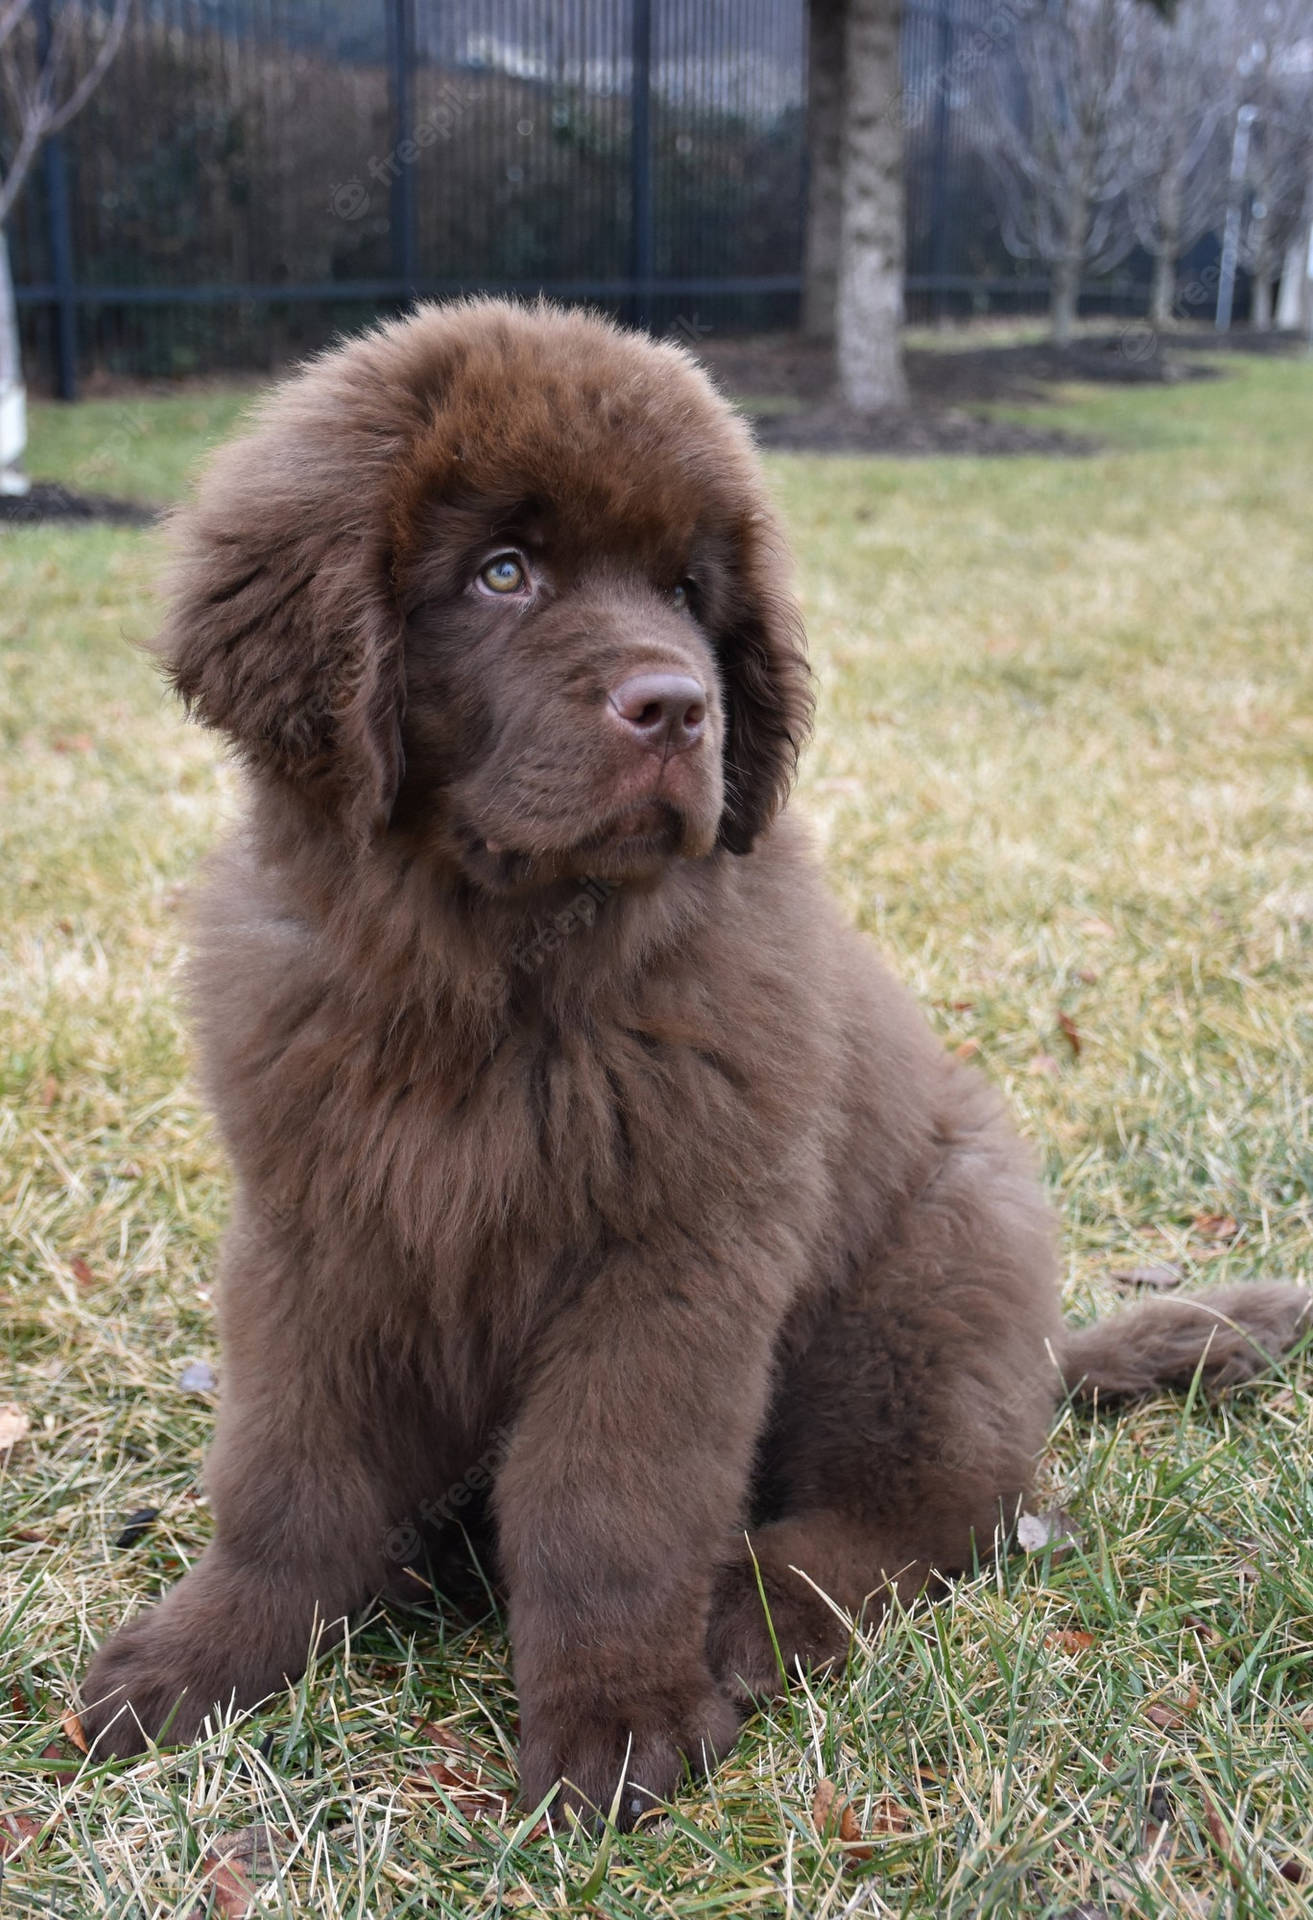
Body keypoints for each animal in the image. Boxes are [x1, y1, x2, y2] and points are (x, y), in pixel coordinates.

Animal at [82, 295, 1305, 1812]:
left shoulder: (671, 1259)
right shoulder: (314, 1230)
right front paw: (207, 1657)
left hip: (922, 1281)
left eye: (683, 590)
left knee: (932, 1519)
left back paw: (745, 1615)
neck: (494, 974)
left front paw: (613, 1722)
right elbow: (287, 1470)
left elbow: (609, 1498)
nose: (678, 707)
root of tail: (1039, 1359)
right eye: (502, 573)